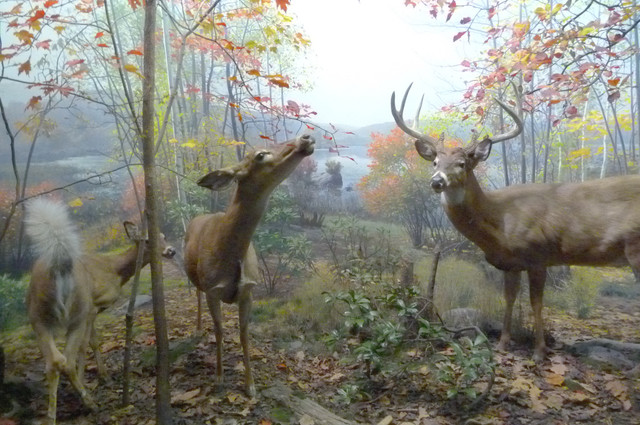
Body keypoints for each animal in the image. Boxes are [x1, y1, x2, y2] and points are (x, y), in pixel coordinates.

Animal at [25, 198, 176, 424]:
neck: (115, 270)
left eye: (163, 236)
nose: (171, 251)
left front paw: (97, 376)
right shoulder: (92, 307)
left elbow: (92, 342)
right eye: (148, 240)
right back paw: (88, 402)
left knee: (53, 361)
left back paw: (51, 416)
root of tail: (58, 268)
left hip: (37, 316)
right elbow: (88, 344)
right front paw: (98, 377)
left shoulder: (93, 311)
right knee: (65, 359)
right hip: (76, 311)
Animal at [184, 134, 315, 397]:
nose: (305, 137)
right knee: (196, 294)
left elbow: (244, 333)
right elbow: (220, 330)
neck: (229, 253)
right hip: (195, 277)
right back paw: (197, 328)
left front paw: (250, 385)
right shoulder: (213, 290)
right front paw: (219, 379)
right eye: (260, 155)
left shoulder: (248, 291)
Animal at [391, 85, 640, 362]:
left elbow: (536, 302)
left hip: (636, 249)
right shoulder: (510, 263)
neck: (500, 221)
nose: (437, 181)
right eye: (435, 162)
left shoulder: (538, 255)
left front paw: (540, 351)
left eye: (462, 164)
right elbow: (509, 299)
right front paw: (503, 343)